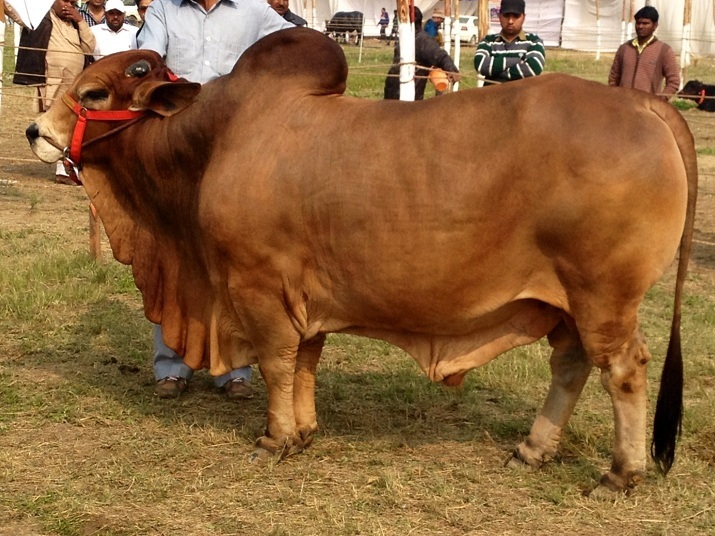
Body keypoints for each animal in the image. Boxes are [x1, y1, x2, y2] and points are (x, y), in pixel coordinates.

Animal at [26, 27, 697, 494]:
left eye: (92, 93)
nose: (35, 131)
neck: (211, 142)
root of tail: (643, 106)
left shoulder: (257, 285)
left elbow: (276, 363)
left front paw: (274, 438)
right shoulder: (303, 297)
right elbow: (304, 364)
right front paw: (304, 432)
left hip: (604, 296)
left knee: (624, 369)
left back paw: (620, 472)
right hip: (570, 303)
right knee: (572, 365)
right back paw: (532, 450)